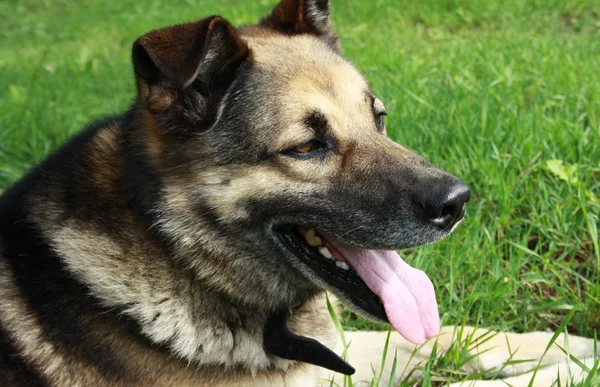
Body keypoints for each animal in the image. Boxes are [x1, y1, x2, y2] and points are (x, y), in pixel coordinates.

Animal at [0, 1, 596, 386]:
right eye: (307, 147)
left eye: (379, 118)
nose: (458, 202)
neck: (176, 251)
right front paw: (572, 371)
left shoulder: (335, 357)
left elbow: (450, 335)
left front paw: (571, 351)